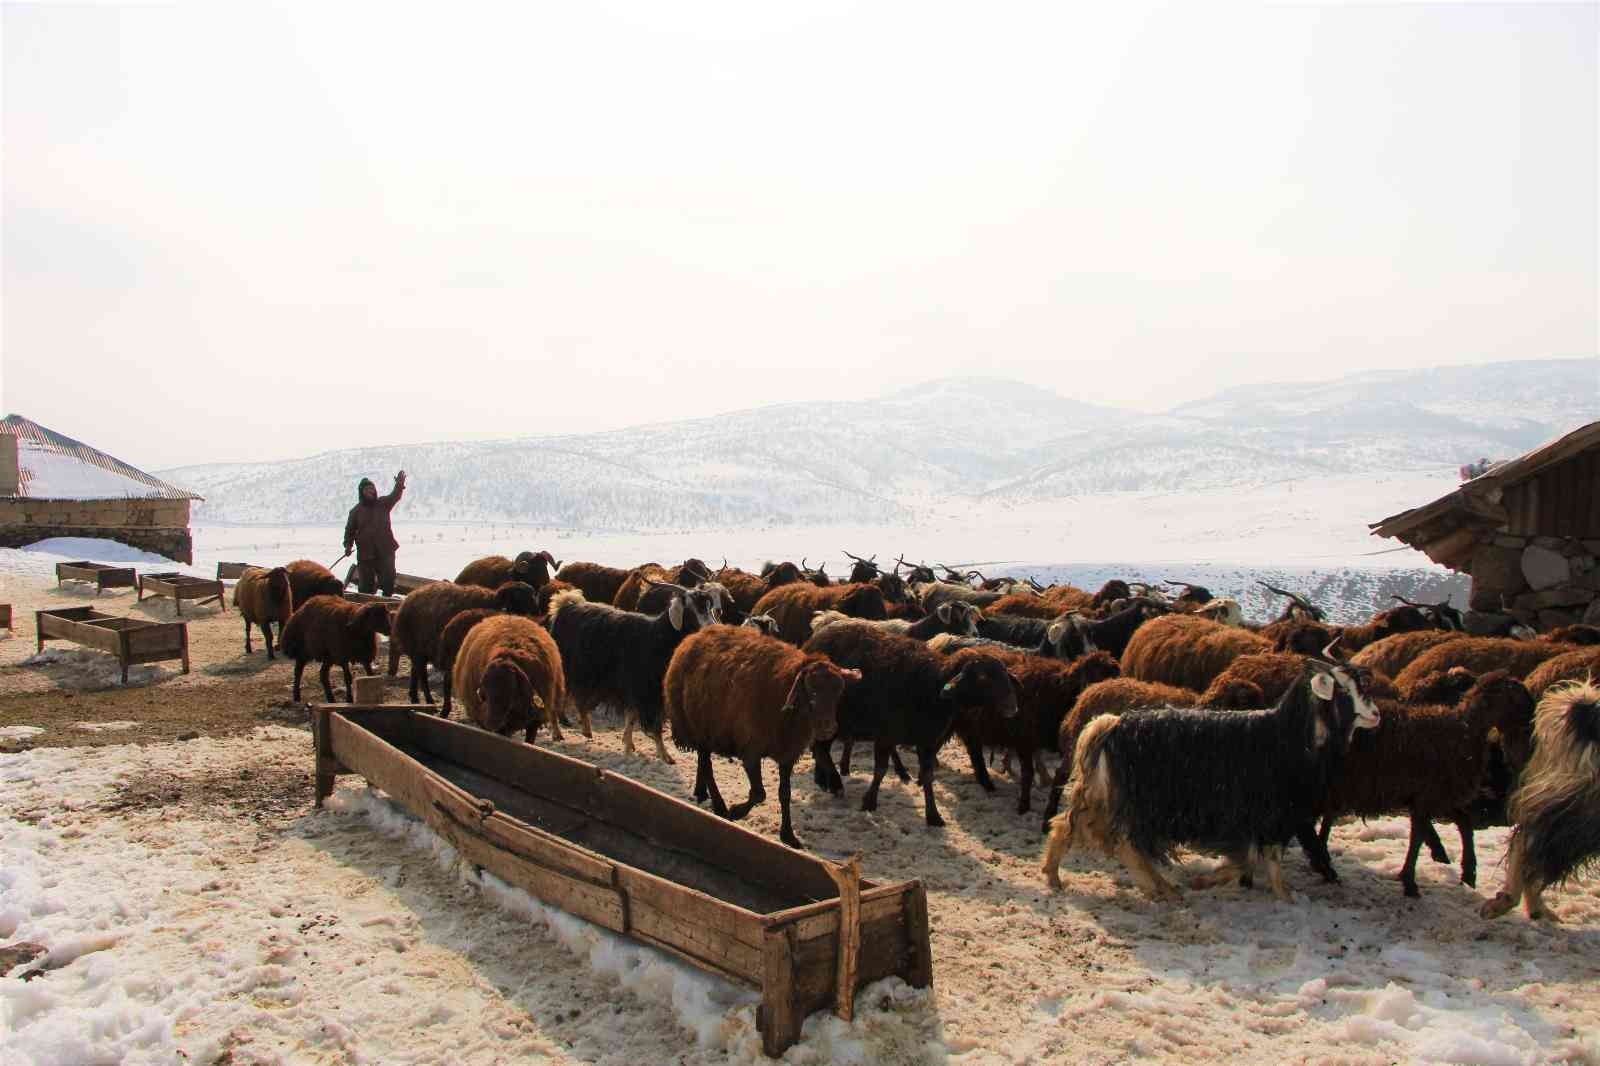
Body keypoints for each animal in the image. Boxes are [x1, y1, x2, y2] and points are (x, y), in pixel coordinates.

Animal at [392, 576, 537, 701]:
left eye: (531, 596)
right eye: (518, 596)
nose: (535, 612)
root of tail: (407, 600)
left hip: (419, 649)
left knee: (415, 670)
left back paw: (414, 696)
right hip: (416, 645)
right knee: (421, 673)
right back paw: (428, 700)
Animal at [662, 624, 864, 845]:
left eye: (839, 692)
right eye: (811, 691)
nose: (827, 728)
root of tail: (694, 636)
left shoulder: (787, 754)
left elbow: (784, 794)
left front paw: (788, 835)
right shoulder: (751, 750)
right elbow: (759, 793)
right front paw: (736, 811)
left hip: (706, 730)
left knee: (702, 763)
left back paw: (701, 793)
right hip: (698, 727)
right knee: (707, 767)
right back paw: (720, 806)